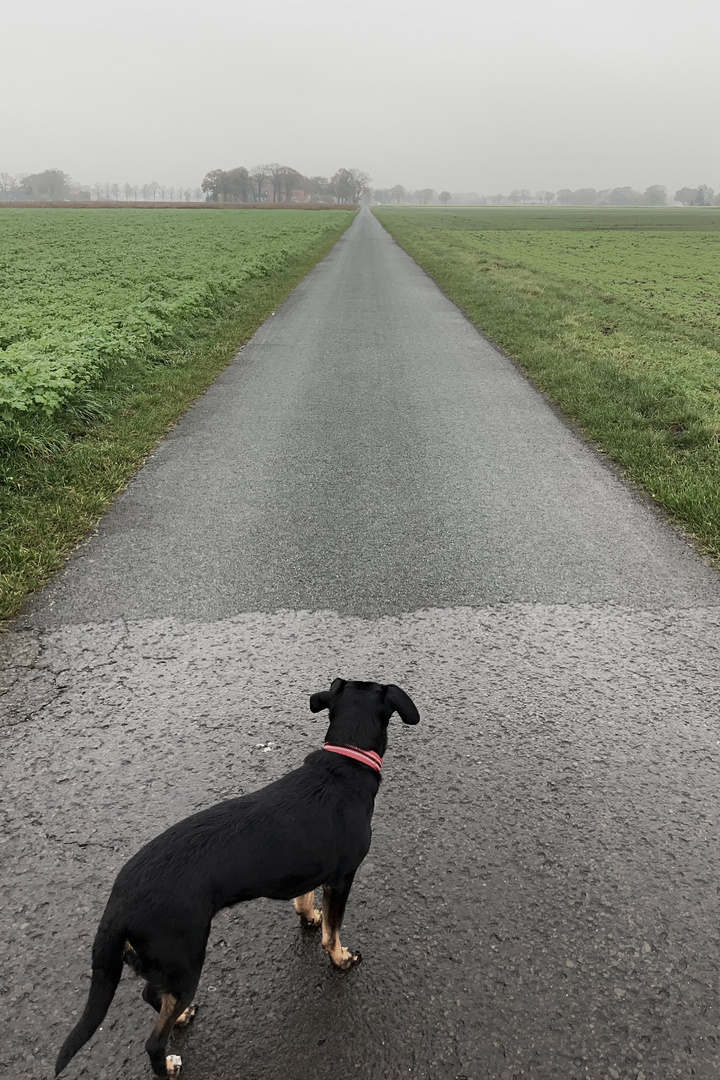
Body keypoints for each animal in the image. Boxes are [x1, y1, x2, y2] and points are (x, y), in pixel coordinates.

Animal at [56, 678, 418, 1075]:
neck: (344, 762)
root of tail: (118, 904)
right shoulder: (341, 878)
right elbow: (332, 933)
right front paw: (341, 959)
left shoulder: (308, 867)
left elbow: (303, 899)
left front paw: (308, 915)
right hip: (185, 960)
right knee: (154, 1040)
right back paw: (168, 1064)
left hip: (167, 967)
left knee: (152, 994)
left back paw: (183, 1017)